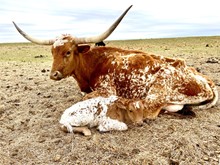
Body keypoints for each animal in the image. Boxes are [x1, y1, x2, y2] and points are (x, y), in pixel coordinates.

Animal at [13, 5, 218, 130]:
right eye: (52, 52)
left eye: (68, 52)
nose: (53, 74)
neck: (92, 64)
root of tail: (208, 82)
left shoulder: (106, 89)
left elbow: (87, 97)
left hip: (159, 86)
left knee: (149, 107)